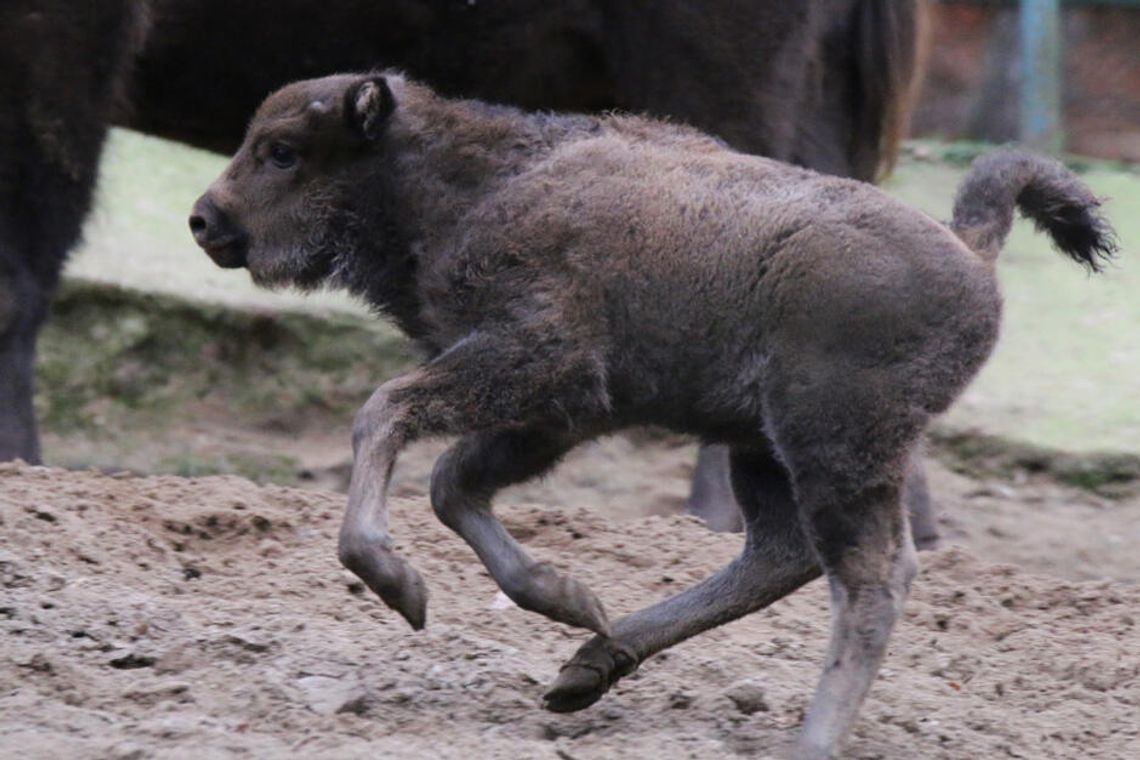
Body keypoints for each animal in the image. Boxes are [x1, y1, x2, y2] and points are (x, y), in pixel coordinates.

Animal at [189, 72, 1112, 760]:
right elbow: (454, 485)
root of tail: (971, 253)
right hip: (762, 447)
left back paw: (807, 738)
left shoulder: (539, 364)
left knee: (871, 578)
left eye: (282, 151)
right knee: (779, 555)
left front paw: (399, 584)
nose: (204, 220)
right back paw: (588, 665)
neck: (477, 180)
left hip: (835, 446)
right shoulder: (557, 412)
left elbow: (387, 415)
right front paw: (569, 598)